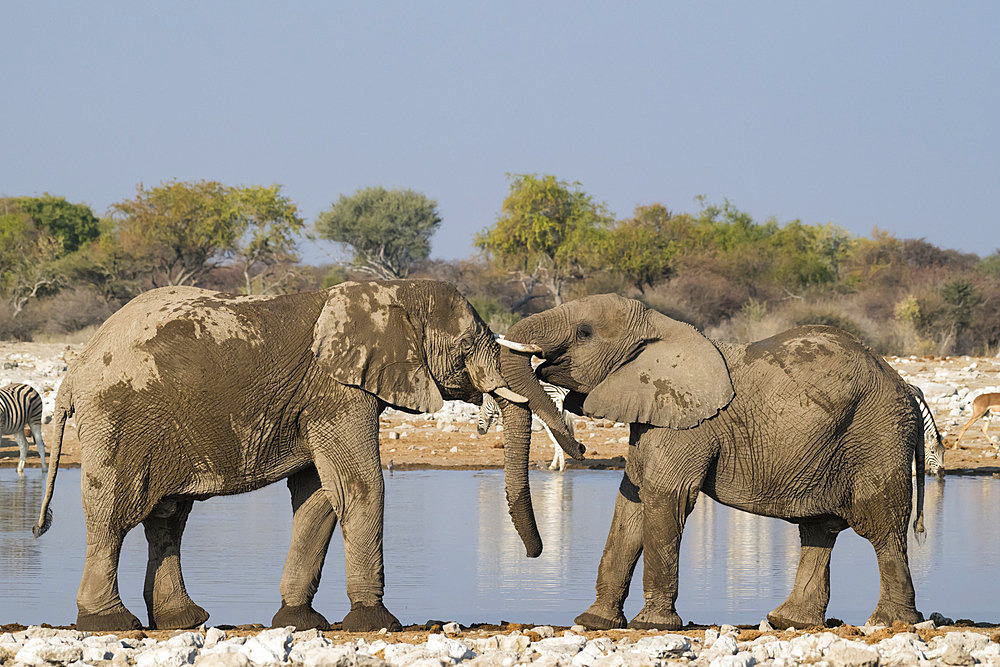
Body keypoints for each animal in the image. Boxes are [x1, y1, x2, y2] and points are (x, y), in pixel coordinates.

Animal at [35, 280, 584, 632]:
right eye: (469, 344)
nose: (534, 556)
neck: (391, 294)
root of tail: (76, 367)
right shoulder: (336, 391)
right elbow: (360, 487)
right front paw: (374, 624)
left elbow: (320, 497)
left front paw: (300, 622)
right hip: (118, 418)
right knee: (115, 514)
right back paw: (108, 622)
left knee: (167, 517)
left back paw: (181, 621)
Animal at [500, 296, 928, 632]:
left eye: (585, 332)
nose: (581, 446)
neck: (660, 326)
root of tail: (907, 386)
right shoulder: (654, 412)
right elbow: (631, 500)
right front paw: (594, 622)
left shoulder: (688, 422)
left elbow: (664, 495)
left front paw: (651, 625)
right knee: (819, 528)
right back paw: (788, 621)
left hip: (879, 436)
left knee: (881, 526)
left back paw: (889, 622)